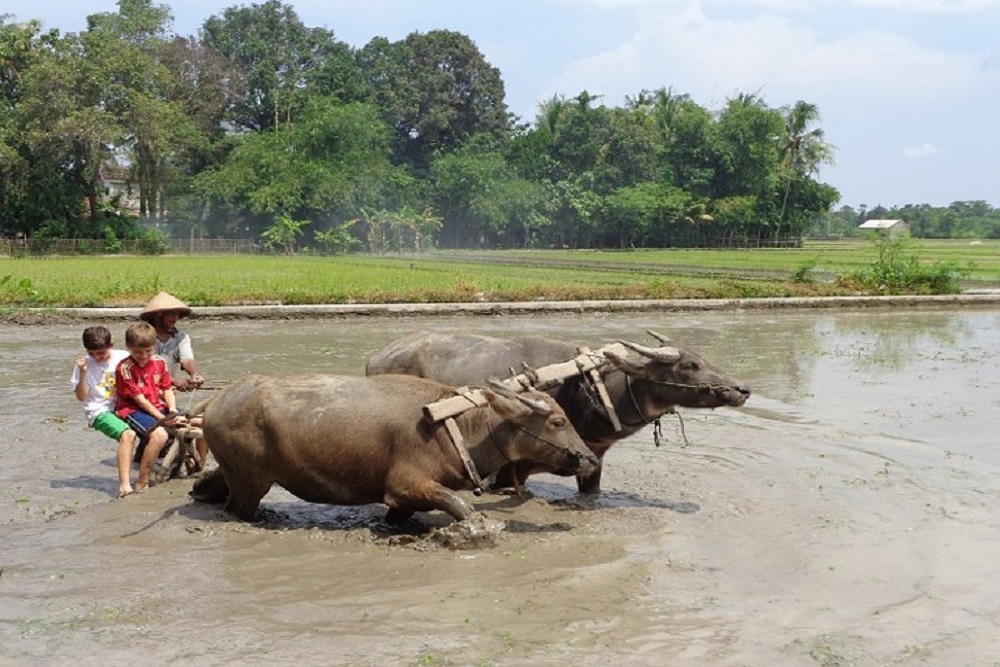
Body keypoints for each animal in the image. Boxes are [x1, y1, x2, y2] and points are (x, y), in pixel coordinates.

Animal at [188, 374, 592, 524]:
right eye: (558, 421)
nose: (588, 459)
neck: (451, 426)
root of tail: (217, 400)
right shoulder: (405, 484)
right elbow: (459, 505)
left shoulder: (402, 501)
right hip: (251, 482)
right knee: (238, 507)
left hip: (236, 473)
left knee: (209, 487)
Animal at [364, 334, 748, 496]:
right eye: (690, 365)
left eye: (702, 358)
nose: (742, 389)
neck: (589, 386)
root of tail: (377, 357)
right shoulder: (510, 467)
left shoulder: (593, 460)